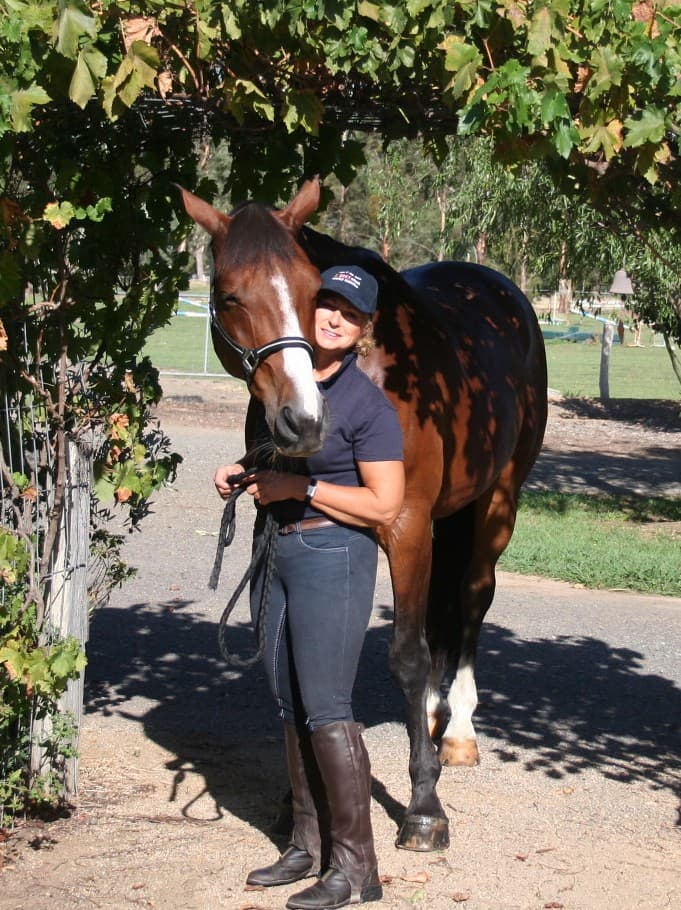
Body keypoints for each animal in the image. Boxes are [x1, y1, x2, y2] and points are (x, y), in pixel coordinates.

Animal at [179, 177, 548, 852]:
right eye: (230, 295)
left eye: (310, 290)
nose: (302, 420)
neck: (365, 368)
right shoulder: (273, 519)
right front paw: (294, 801)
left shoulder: (405, 527)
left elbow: (406, 656)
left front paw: (425, 807)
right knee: (442, 613)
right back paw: (432, 714)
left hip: (497, 501)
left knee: (471, 600)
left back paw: (458, 731)